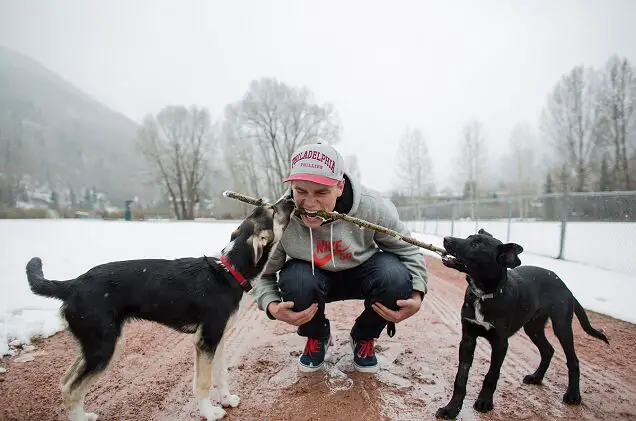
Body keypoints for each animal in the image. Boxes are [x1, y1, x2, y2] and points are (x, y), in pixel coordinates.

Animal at [24, 196, 294, 420]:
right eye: (272, 210)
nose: (290, 198)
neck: (228, 271)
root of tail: (73, 283)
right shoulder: (205, 341)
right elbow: (203, 382)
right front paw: (209, 412)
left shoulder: (217, 340)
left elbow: (221, 376)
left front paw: (227, 400)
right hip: (103, 347)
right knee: (72, 389)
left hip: (92, 345)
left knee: (66, 382)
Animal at [434, 228, 608, 418]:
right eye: (469, 238)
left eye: (476, 245)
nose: (446, 239)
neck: (485, 295)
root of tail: (565, 286)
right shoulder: (468, 338)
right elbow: (461, 377)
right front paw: (452, 408)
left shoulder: (500, 343)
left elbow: (492, 374)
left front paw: (484, 401)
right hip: (533, 327)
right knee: (548, 350)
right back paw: (536, 378)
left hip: (561, 326)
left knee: (573, 360)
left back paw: (573, 395)